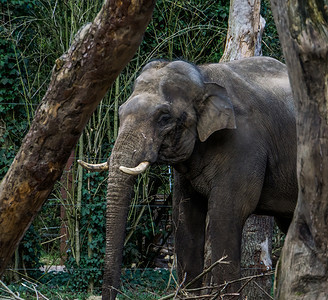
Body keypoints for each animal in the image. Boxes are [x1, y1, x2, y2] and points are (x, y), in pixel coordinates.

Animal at [79, 55, 298, 298]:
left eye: (164, 118)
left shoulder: (244, 146)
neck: (204, 76)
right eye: (120, 111)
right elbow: (185, 215)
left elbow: (227, 213)